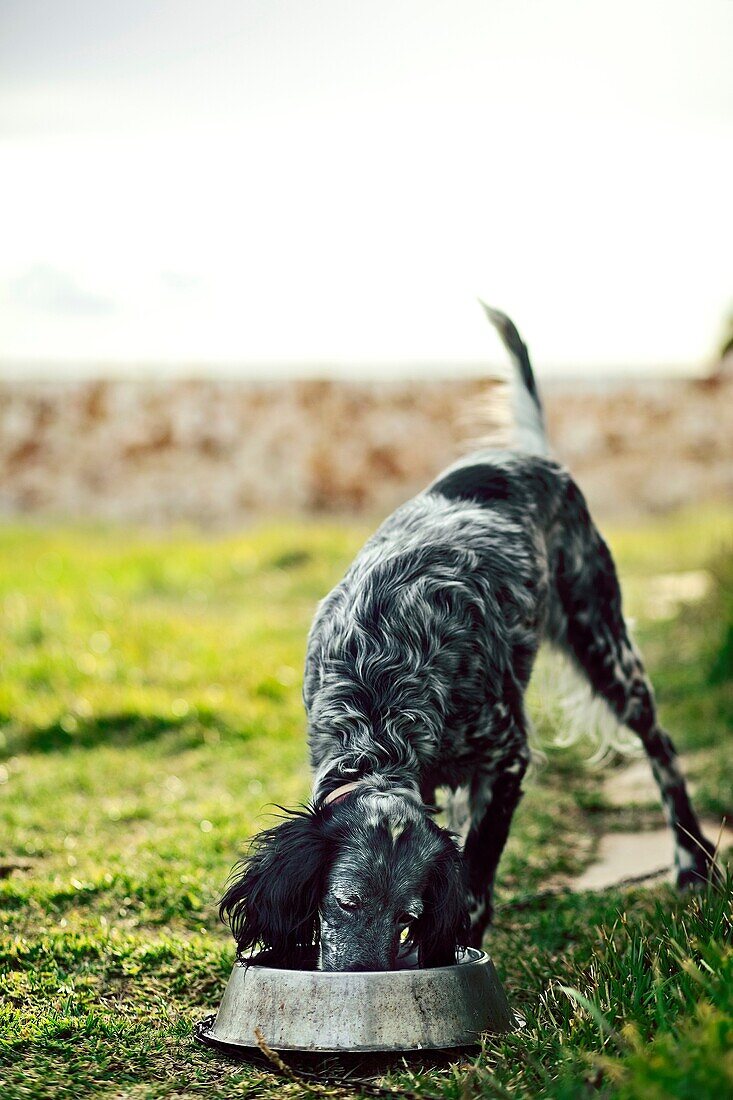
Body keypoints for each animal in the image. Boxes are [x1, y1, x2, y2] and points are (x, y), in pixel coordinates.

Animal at [220, 308, 717, 972]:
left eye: (407, 917)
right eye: (344, 901)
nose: (363, 980)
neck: (382, 687)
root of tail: (527, 455)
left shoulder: (507, 758)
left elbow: (475, 877)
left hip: (605, 645)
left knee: (661, 747)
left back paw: (693, 862)